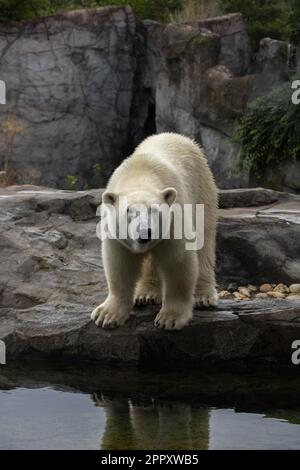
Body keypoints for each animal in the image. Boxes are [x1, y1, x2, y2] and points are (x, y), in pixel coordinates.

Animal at [90, 132, 217, 330]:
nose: (145, 232)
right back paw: (145, 294)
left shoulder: (174, 221)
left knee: (205, 239)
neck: (141, 174)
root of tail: (179, 136)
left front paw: (169, 319)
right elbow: (119, 265)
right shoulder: (115, 234)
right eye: (129, 211)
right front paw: (106, 315)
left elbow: (178, 263)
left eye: (154, 210)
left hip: (202, 188)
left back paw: (203, 296)